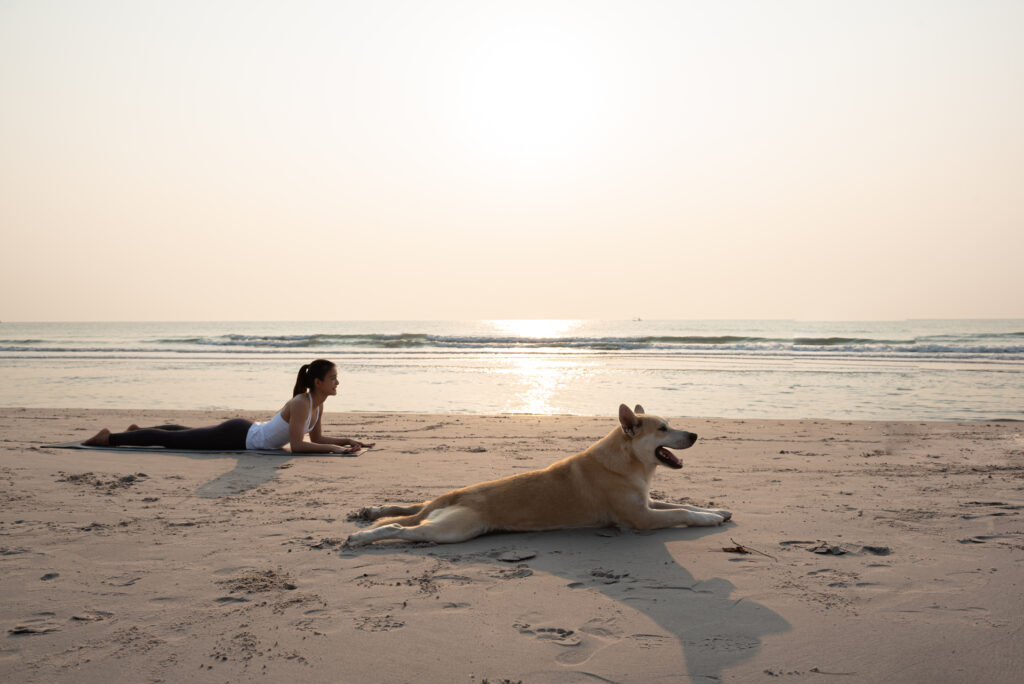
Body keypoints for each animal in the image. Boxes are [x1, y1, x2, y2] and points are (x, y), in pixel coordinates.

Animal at [348, 403, 733, 548]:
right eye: (663, 429)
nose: (695, 435)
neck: (627, 463)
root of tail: (456, 495)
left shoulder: (646, 502)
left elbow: (682, 504)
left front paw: (717, 511)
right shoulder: (641, 518)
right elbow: (681, 511)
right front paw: (710, 519)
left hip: (440, 516)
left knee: (408, 513)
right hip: (453, 530)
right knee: (401, 529)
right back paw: (362, 537)